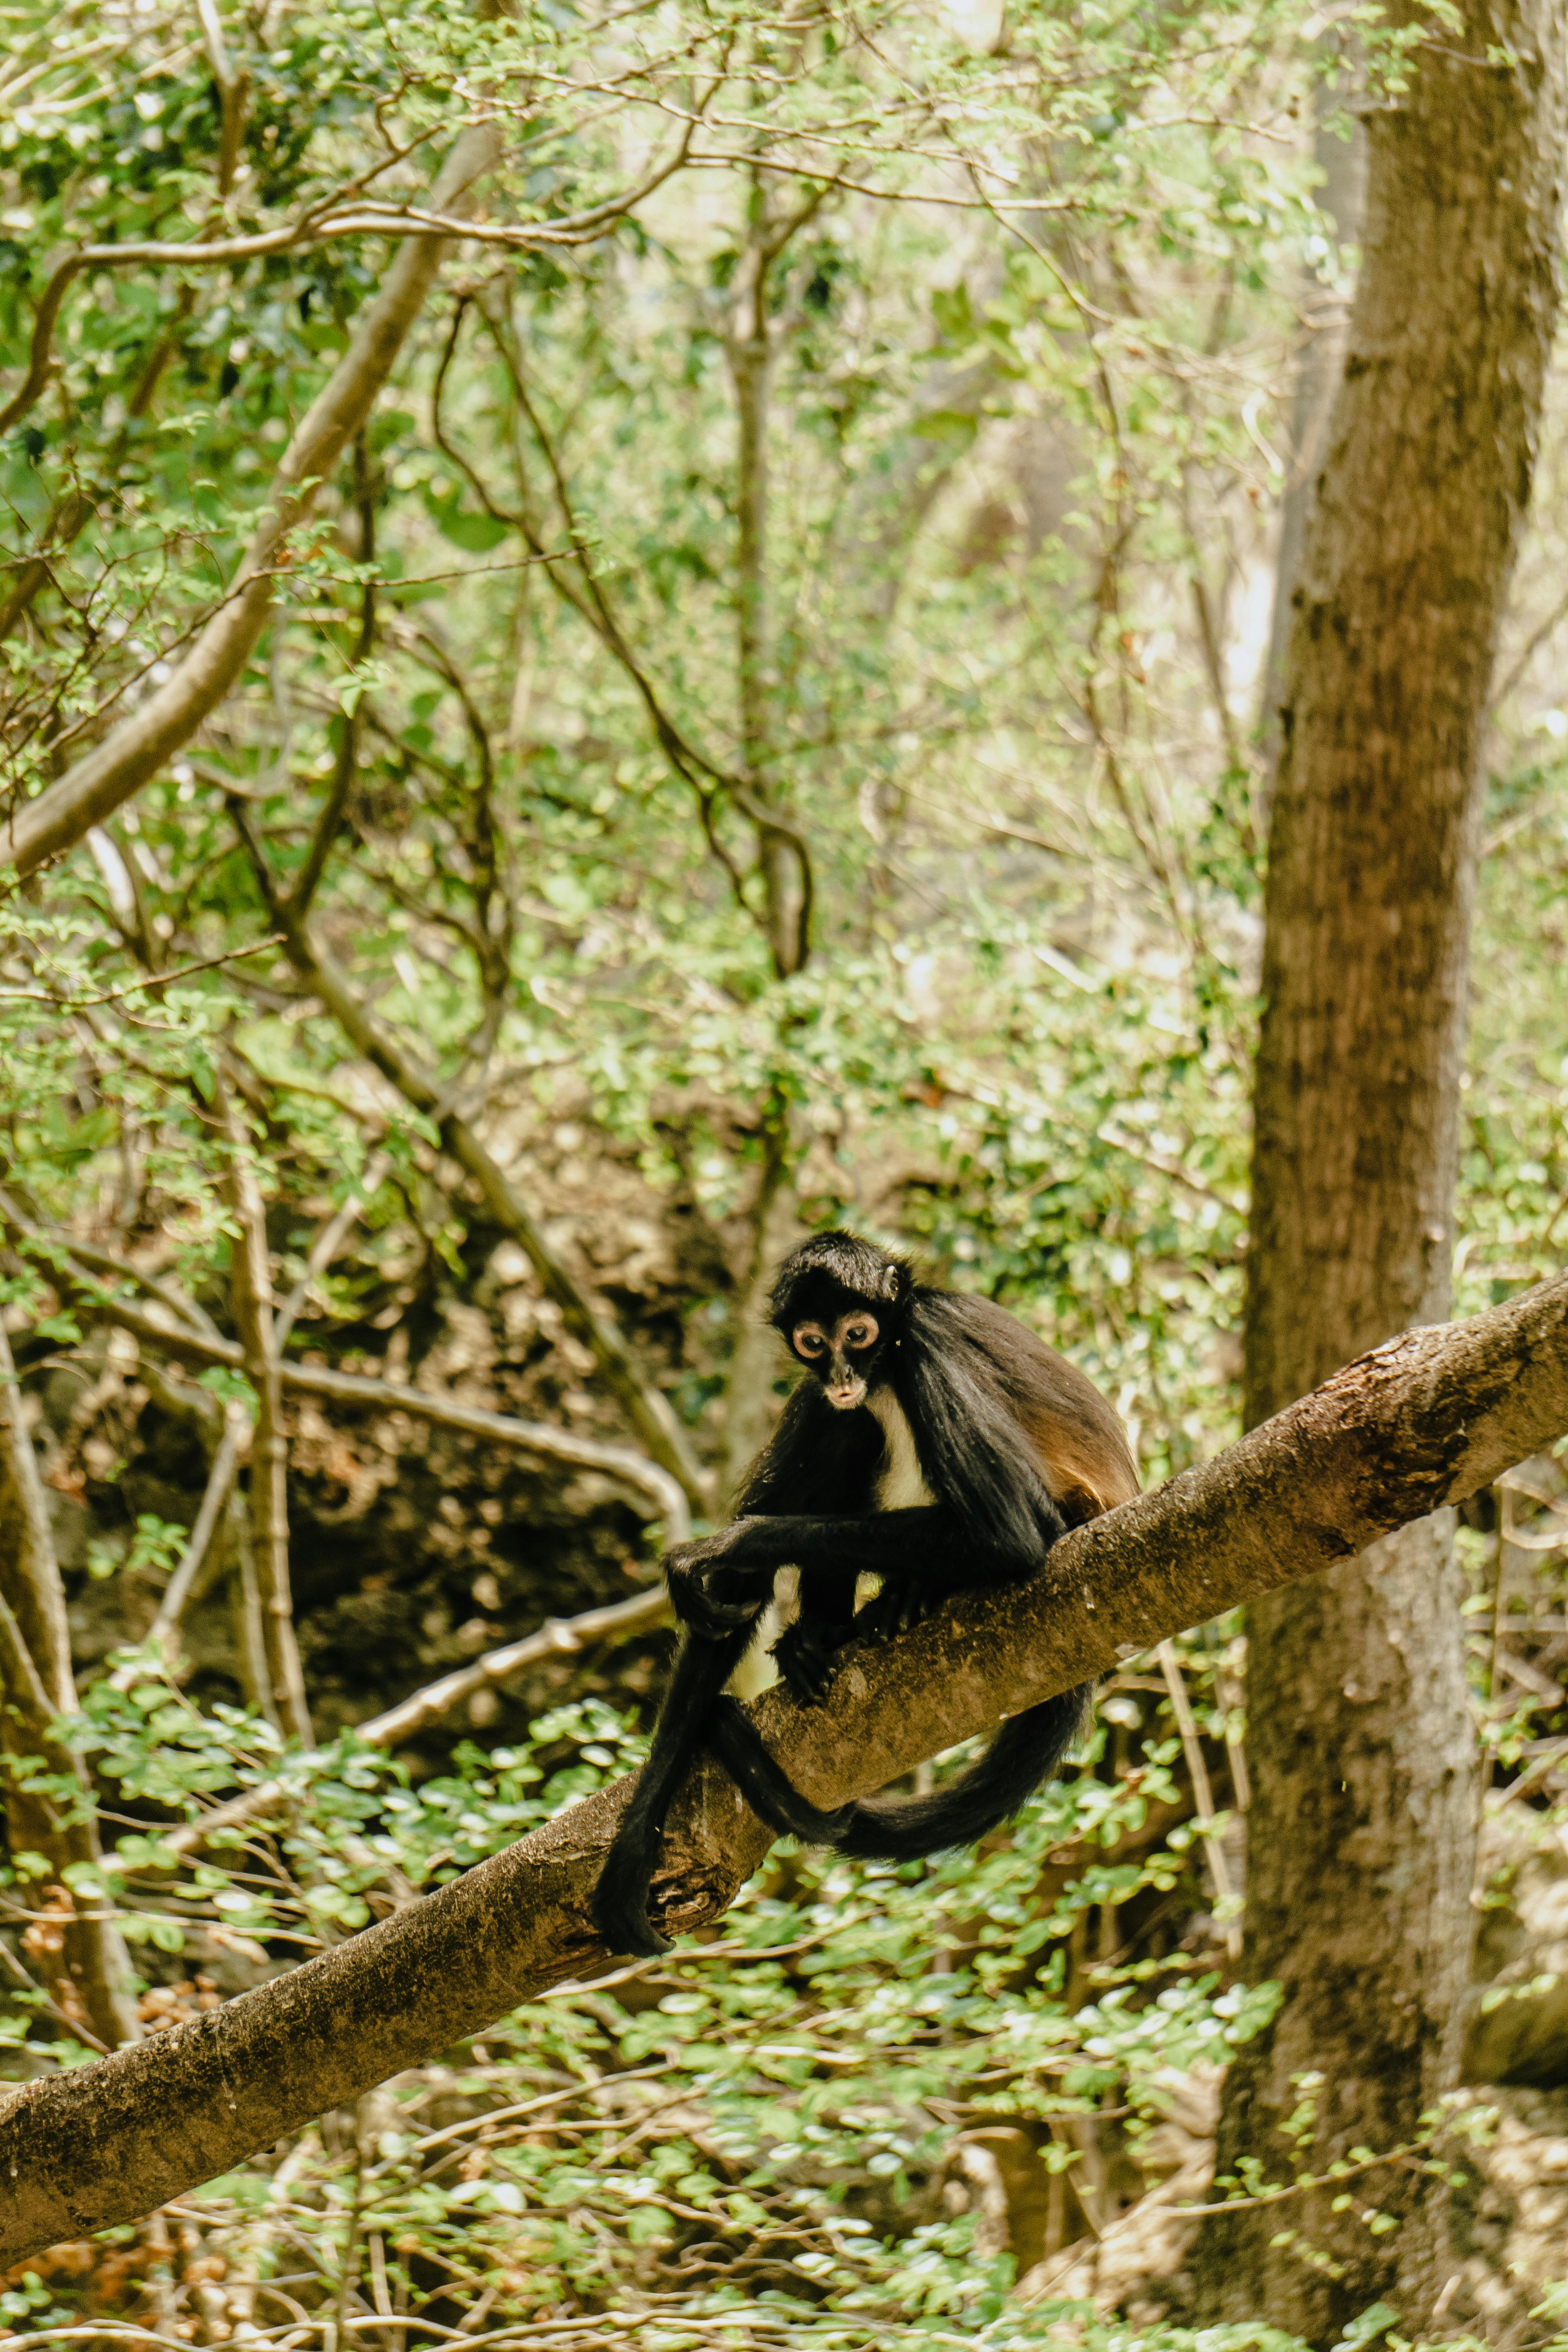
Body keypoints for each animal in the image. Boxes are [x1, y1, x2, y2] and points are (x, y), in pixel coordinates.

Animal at [592, 1223, 1142, 1957]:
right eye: (812, 1343)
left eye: (857, 1333)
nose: (842, 1376)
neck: (884, 1369)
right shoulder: (814, 1393)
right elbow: (731, 1598)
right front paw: (633, 1846)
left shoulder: (927, 1341)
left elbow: (1010, 1534)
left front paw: (739, 1541)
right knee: (845, 1433)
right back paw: (822, 1639)